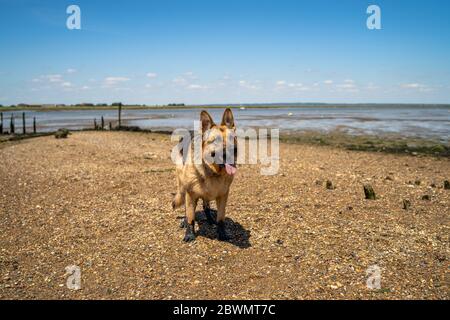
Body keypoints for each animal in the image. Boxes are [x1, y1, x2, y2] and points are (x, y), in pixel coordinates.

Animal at [171, 109, 237, 241]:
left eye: (232, 139)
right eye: (216, 140)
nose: (233, 151)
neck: (212, 172)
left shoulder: (223, 196)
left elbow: (221, 218)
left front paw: (222, 233)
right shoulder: (191, 195)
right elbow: (191, 217)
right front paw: (189, 234)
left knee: (206, 206)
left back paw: (210, 219)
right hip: (184, 189)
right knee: (186, 210)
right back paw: (185, 221)